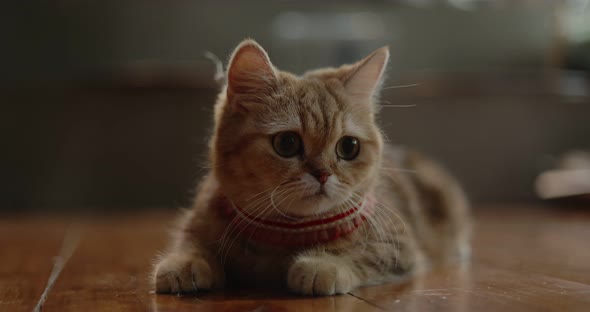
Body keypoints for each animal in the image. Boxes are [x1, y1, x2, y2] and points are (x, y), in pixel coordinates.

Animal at [153, 39, 472, 294]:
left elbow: (362, 254)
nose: (322, 174)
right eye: (287, 143)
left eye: (348, 147)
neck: (284, 234)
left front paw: (322, 265)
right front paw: (183, 263)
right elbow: (191, 243)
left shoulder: (398, 247)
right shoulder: (198, 221)